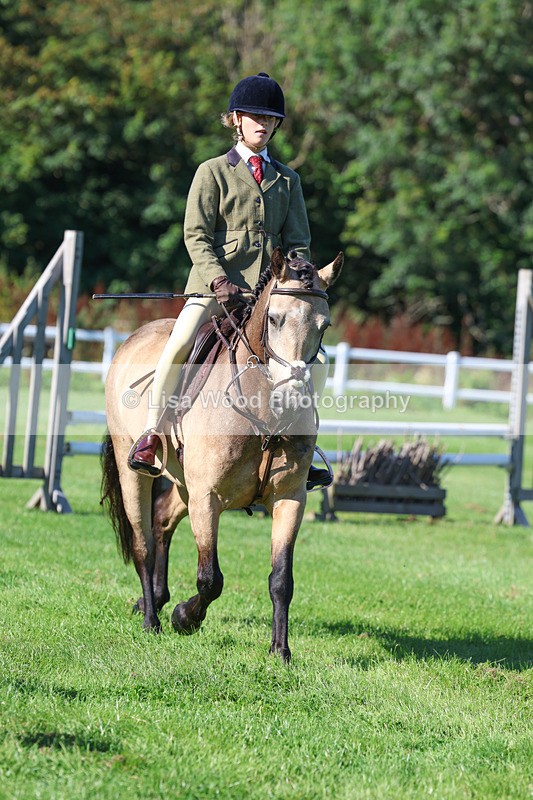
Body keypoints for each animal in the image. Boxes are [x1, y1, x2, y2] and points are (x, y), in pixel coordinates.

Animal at [101, 247, 343, 662]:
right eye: (274, 319)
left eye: (324, 326)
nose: (291, 396)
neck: (264, 411)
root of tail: (134, 337)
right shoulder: (207, 498)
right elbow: (210, 578)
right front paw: (185, 617)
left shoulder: (289, 499)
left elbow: (282, 580)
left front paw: (280, 651)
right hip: (135, 470)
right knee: (142, 541)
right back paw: (152, 618)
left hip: (184, 483)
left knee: (162, 521)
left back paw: (157, 600)